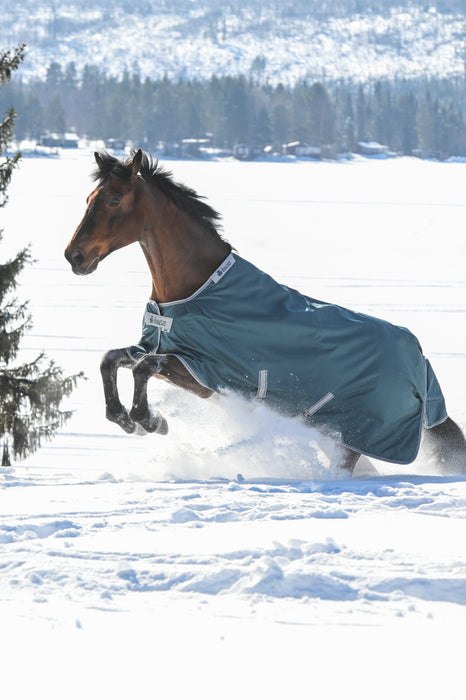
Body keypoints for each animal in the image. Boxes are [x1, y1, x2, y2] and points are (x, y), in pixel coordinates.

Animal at [64, 149, 466, 474]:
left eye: (114, 200)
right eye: (88, 198)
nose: (74, 257)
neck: (193, 291)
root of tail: (422, 363)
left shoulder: (200, 371)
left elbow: (143, 368)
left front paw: (151, 421)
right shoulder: (163, 350)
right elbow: (110, 359)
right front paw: (123, 418)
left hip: (351, 441)